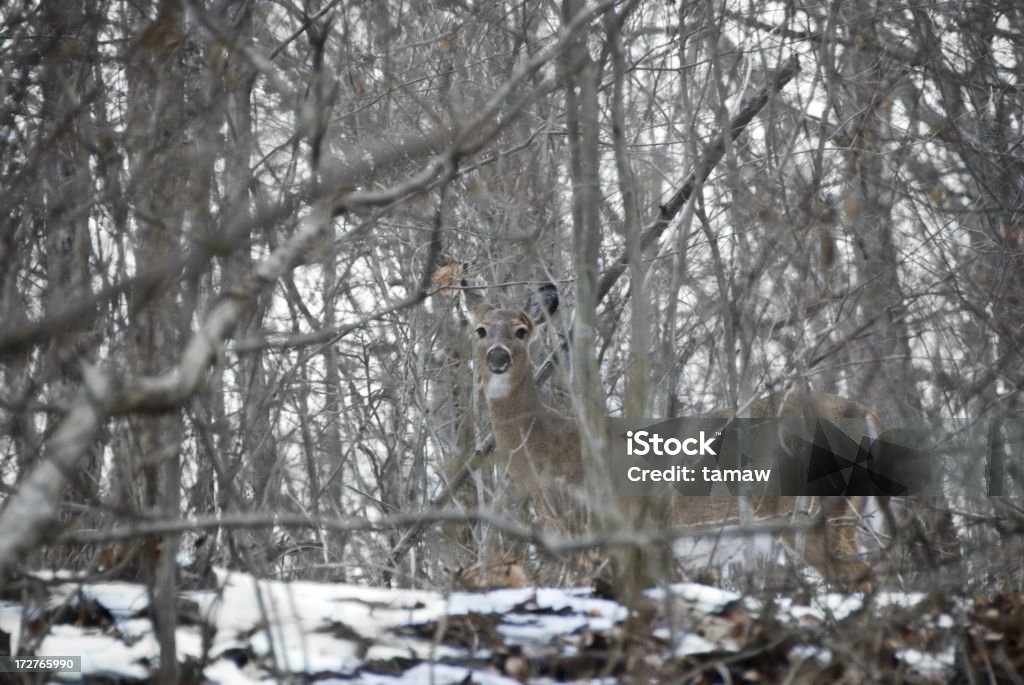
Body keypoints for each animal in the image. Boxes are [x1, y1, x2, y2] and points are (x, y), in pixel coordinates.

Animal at [460, 278, 884, 589]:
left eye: (521, 331)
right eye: (479, 330)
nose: (498, 357)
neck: (545, 454)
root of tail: (865, 413)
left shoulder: (592, 526)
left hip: (816, 512)